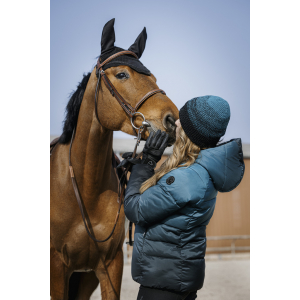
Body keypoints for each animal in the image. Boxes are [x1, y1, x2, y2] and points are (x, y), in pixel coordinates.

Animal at [50, 19, 179, 300]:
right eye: (122, 75)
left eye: (152, 77)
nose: (172, 120)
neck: (84, 189)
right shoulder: (57, 267)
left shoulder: (110, 265)